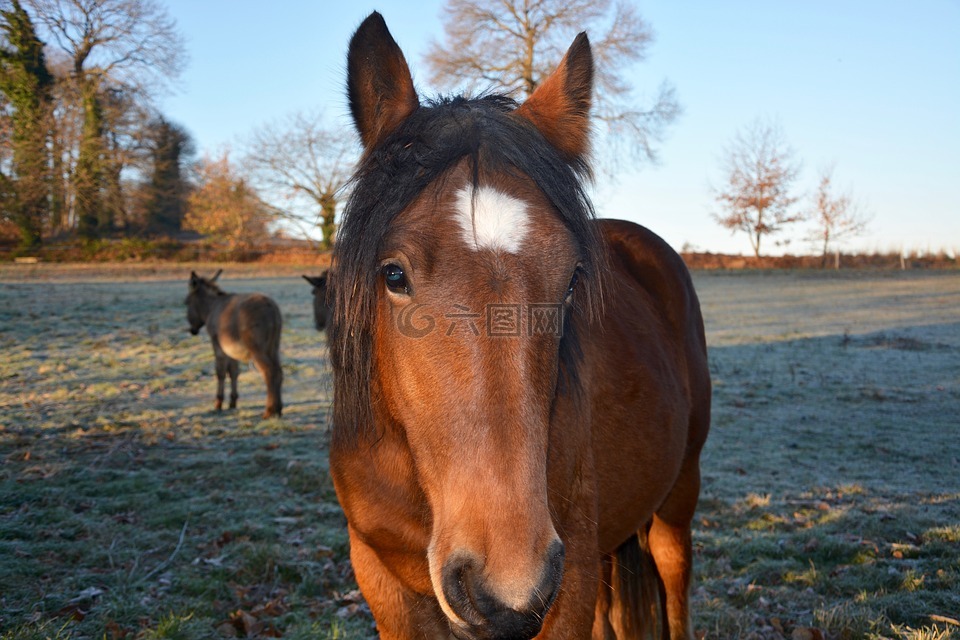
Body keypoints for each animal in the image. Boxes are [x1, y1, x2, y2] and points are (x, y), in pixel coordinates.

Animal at [184, 270, 282, 420]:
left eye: (186, 303)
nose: (192, 331)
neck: (211, 308)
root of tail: (273, 309)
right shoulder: (231, 349)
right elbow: (234, 372)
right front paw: (232, 402)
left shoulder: (217, 345)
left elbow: (220, 372)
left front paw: (218, 403)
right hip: (273, 347)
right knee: (279, 371)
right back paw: (279, 409)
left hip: (258, 350)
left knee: (269, 371)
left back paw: (269, 411)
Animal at [330, 11, 712, 640]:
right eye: (393, 274)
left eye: (573, 279)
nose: (507, 588)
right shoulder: (380, 579)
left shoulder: (567, 583)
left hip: (677, 499)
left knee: (675, 583)